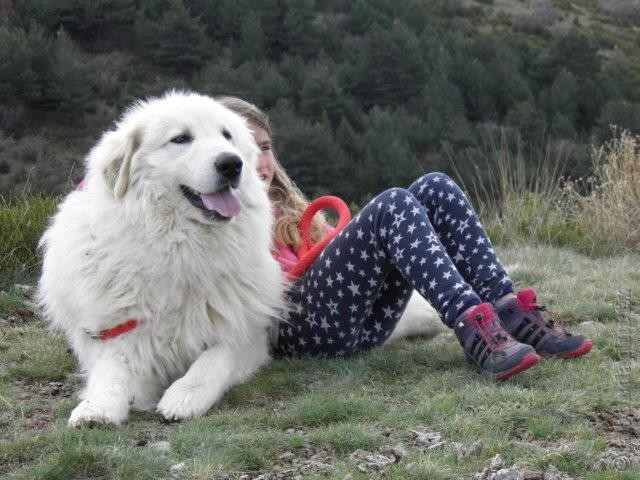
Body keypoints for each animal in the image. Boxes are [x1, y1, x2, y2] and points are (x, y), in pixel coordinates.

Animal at [36, 92, 284, 426]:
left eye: (227, 135)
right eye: (180, 138)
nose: (232, 163)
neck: (179, 250)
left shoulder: (246, 334)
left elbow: (213, 359)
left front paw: (184, 395)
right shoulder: (120, 335)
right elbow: (110, 374)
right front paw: (95, 407)